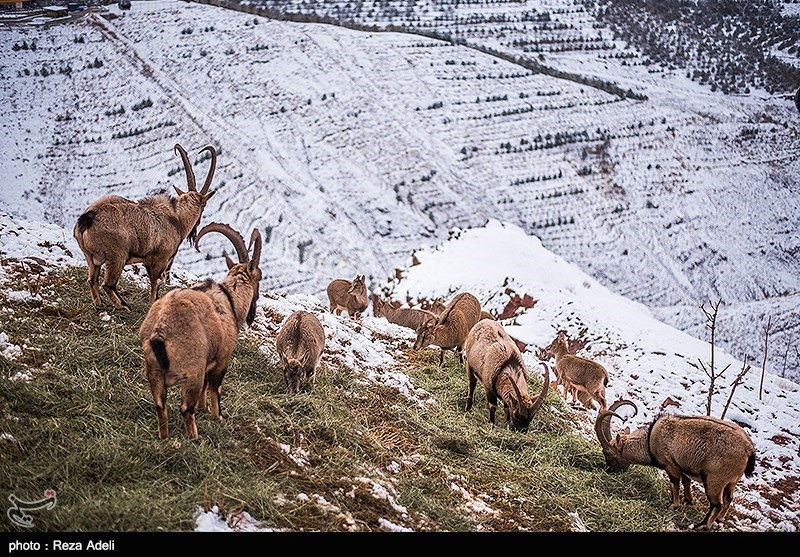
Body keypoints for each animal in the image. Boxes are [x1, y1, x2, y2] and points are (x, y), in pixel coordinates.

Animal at [74, 142, 217, 308]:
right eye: (204, 206)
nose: (195, 231)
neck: (177, 218)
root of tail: (87, 219)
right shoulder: (160, 260)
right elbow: (155, 284)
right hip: (117, 256)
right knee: (108, 284)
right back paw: (125, 306)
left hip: (91, 259)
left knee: (92, 280)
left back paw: (100, 304)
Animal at [138, 222, 262, 438]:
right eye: (260, 278)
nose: (252, 314)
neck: (230, 299)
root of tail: (159, 334)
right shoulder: (221, 359)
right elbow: (215, 389)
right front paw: (218, 417)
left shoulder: (207, 362)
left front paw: (204, 408)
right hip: (191, 373)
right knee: (186, 409)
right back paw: (194, 438)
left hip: (153, 372)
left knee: (161, 406)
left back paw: (164, 438)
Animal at [592, 398, 756, 528]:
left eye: (609, 455)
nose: (609, 471)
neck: (650, 440)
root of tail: (749, 449)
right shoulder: (683, 467)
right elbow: (686, 482)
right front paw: (689, 500)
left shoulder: (671, 465)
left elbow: (675, 483)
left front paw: (673, 505)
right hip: (732, 481)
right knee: (729, 499)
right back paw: (720, 519)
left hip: (714, 480)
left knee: (717, 504)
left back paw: (703, 525)